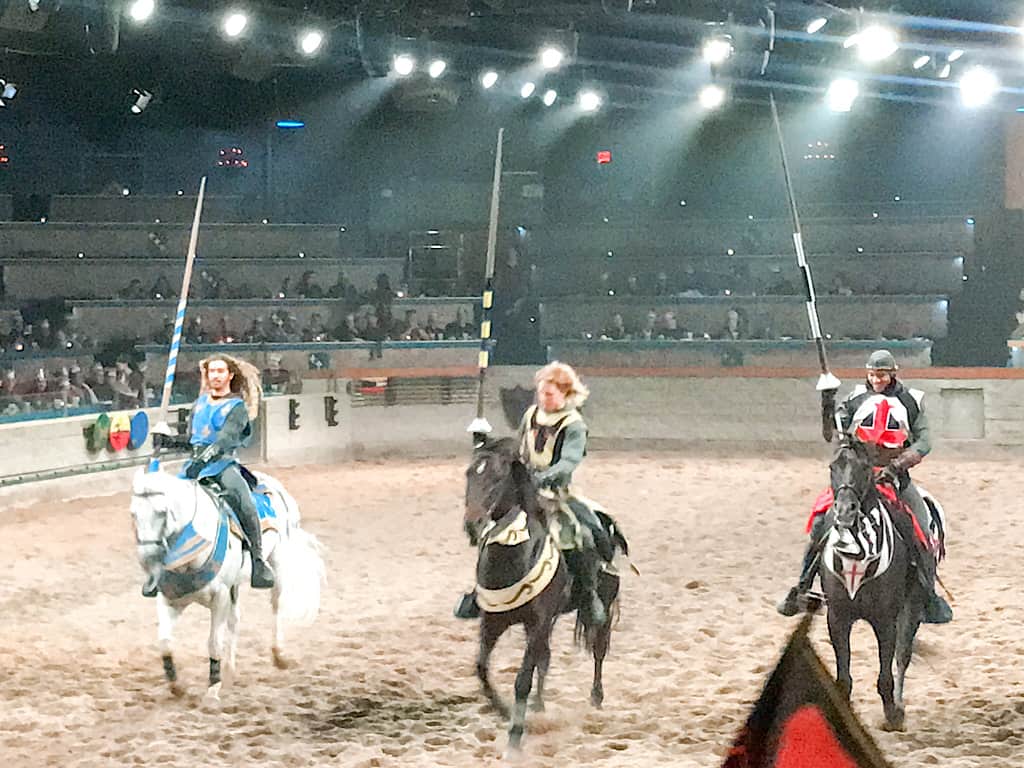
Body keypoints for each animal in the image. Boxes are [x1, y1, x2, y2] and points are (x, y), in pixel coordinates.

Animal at [130, 468, 323, 704]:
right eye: (133, 514)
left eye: (162, 512)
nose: (146, 559)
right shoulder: (169, 600)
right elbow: (164, 643)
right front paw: (177, 686)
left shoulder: (219, 597)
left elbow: (214, 642)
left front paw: (212, 689)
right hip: (235, 585)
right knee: (235, 620)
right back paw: (230, 672)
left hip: (277, 562)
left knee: (276, 608)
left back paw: (279, 654)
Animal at [466, 438, 622, 753]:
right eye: (469, 475)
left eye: (497, 478)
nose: (471, 525)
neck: (512, 557)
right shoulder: (493, 623)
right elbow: (482, 669)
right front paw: (504, 711)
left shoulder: (537, 623)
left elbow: (522, 679)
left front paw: (515, 734)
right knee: (545, 658)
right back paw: (539, 705)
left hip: (605, 604)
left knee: (599, 648)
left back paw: (596, 699)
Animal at [815, 438, 929, 733]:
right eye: (833, 466)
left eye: (865, 467)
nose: (845, 511)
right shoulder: (838, 617)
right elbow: (843, 678)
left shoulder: (885, 620)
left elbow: (885, 675)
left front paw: (892, 714)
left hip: (912, 606)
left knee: (902, 655)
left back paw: (898, 708)